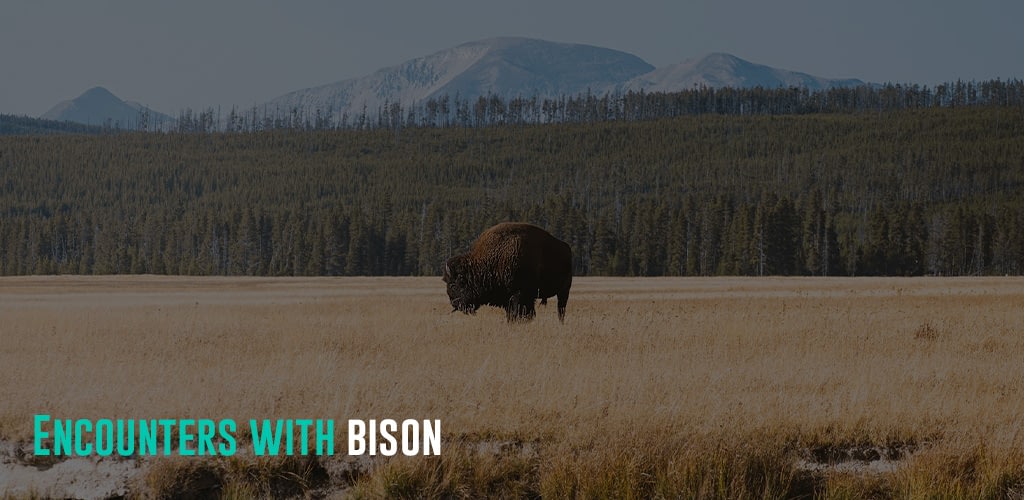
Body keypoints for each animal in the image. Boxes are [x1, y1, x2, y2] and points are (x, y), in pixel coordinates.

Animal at [444, 222, 573, 323]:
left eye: (454, 284)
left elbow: (517, 313)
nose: (454, 303)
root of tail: (566, 247)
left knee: (561, 309)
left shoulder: (518, 294)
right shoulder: (512, 298)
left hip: (564, 291)